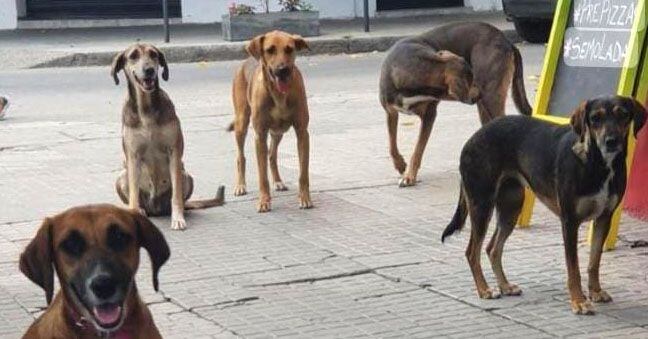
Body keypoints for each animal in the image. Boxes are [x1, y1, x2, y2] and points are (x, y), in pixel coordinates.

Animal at [109, 41, 225, 228]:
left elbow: (176, 194)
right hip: (121, 177)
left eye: (153, 54)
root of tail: (155, 209)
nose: (149, 69)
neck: (146, 108)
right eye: (133, 56)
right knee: (135, 199)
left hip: (187, 176)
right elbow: (133, 194)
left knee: (180, 198)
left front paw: (178, 219)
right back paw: (139, 211)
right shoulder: (133, 156)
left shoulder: (174, 152)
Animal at [380, 21, 532, 189]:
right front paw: (400, 165)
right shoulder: (390, 112)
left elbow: (418, 150)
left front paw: (409, 176)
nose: (479, 93)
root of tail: (506, 41)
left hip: (491, 97)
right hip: (484, 105)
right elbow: (391, 144)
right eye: (470, 80)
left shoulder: (429, 115)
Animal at [442, 95, 644, 316]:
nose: (611, 141)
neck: (596, 163)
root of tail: (473, 138)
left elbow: (594, 262)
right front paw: (579, 301)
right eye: (595, 118)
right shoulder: (569, 222)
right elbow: (574, 269)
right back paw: (484, 289)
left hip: (511, 207)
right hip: (481, 204)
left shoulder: (604, 218)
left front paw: (596, 292)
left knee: (492, 248)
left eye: (622, 114)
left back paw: (505, 286)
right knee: (472, 252)